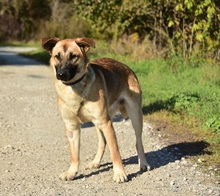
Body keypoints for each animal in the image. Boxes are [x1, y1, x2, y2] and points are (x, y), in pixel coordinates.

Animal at [41, 37, 150, 183]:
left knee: (138, 141)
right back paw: (96, 162)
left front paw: (119, 173)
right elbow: (74, 155)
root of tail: (125, 66)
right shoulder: (72, 127)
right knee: (102, 142)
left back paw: (143, 163)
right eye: (57, 56)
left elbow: (115, 152)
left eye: (73, 56)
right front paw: (72, 172)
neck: (75, 88)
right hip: (97, 123)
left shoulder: (106, 123)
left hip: (135, 115)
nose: (61, 74)